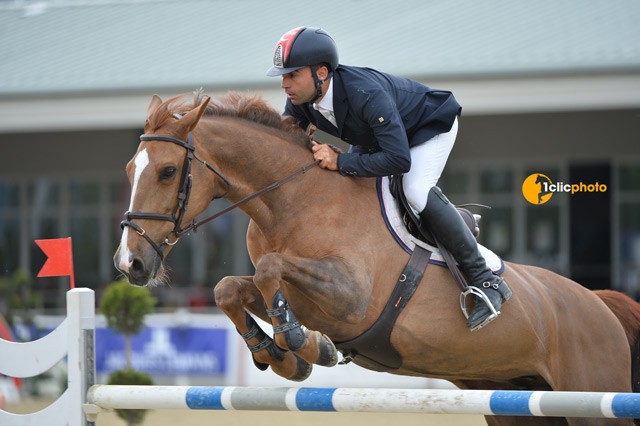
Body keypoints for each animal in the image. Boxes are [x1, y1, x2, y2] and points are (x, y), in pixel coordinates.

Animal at [114, 90, 640, 426]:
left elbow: (270, 270)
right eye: (129, 169)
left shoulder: (350, 298)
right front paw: (281, 355)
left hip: (589, 396)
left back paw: (486, 296)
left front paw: (302, 345)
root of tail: (600, 304)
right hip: (512, 400)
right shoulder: (305, 297)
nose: (129, 264)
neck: (290, 201)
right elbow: (232, 288)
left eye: (167, 172)